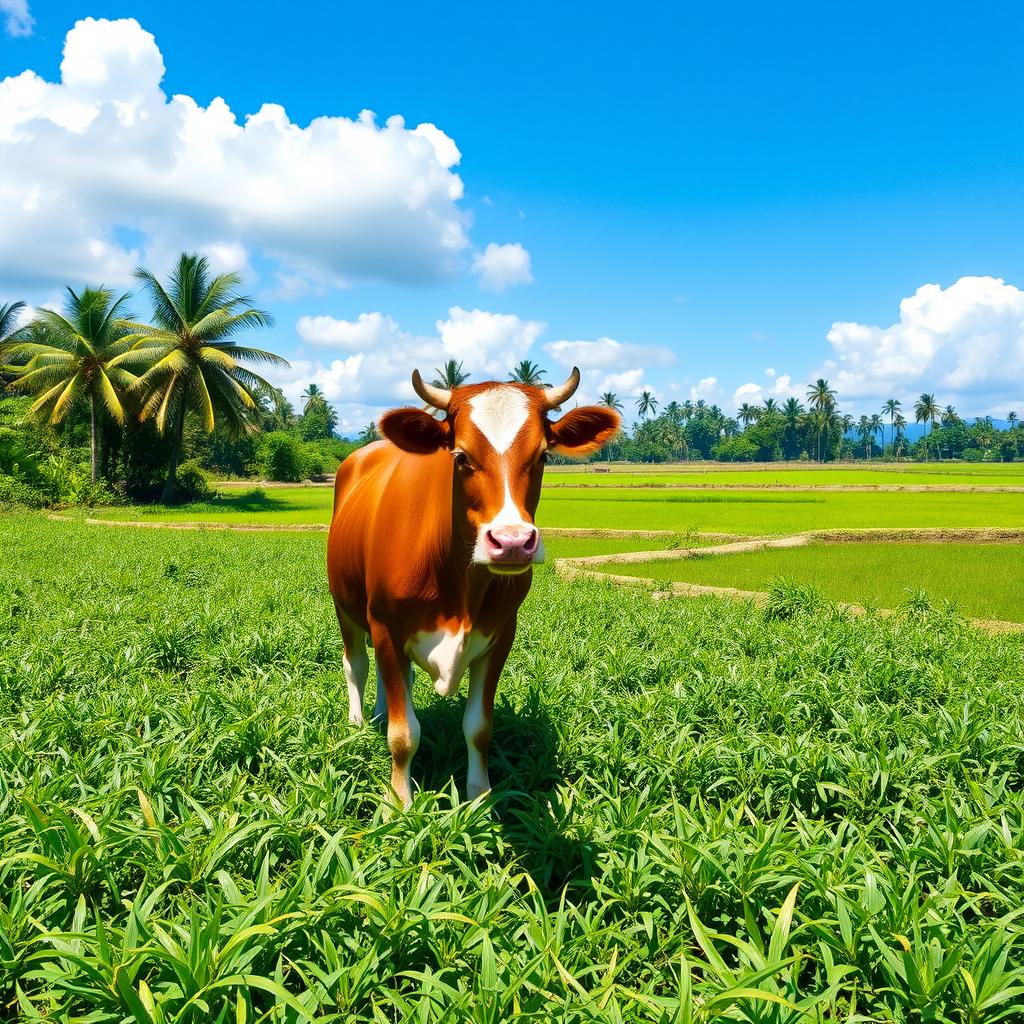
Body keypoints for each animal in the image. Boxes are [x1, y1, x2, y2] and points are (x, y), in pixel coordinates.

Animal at [325, 368, 614, 806]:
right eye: (460, 456)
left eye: (543, 456)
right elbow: (403, 733)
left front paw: (480, 796)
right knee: (356, 663)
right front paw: (400, 803)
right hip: (345, 606)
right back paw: (358, 722)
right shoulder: (386, 625)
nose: (512, 542)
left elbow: (478, 727)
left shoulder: (501, 633)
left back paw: (378, 711)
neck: (458, 589)